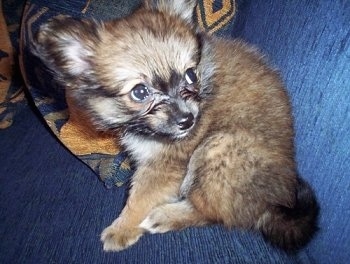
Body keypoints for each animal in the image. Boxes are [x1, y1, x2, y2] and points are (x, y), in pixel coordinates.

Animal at [36, 0, 320, 252]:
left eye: (191, 75)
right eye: (140, 92)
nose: (188, 120)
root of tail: (273, 205)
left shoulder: (164, 166)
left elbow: (139, 198)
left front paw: (122, 229)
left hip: (219, 147)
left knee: (215, 214)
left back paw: (165, 216)